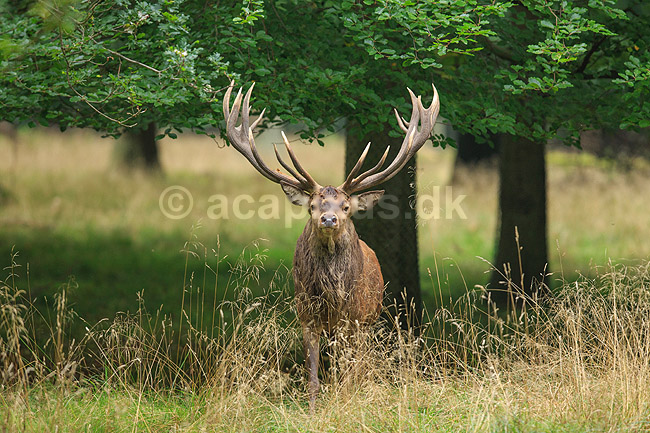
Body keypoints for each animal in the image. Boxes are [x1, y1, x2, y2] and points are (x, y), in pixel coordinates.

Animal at [222, 82, 440, 409]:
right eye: (313, 205)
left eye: (346, 206)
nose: (328, 219)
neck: (332, 295)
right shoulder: (306, 314)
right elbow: (313, 371)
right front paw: (313, 407)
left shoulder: (355, 317)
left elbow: (349, 371)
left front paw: (346, 400)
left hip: (370, 318)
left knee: (357, 363)